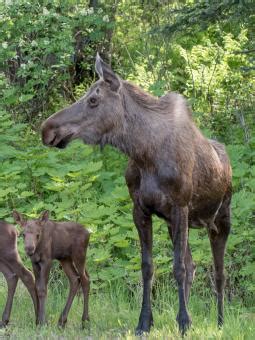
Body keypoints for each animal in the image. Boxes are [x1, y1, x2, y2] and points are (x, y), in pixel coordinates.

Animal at [40, 54, 232, 336]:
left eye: (93, 100)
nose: (47, 129)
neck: (144, 152)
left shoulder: (180, 206)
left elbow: (177, 267)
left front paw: (184, 323)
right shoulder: (141, 209)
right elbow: (148, 267)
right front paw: (146, 322)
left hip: (220, 220)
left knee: (219, 272)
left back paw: (219, 322)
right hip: (176, 224)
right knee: (192, 264)